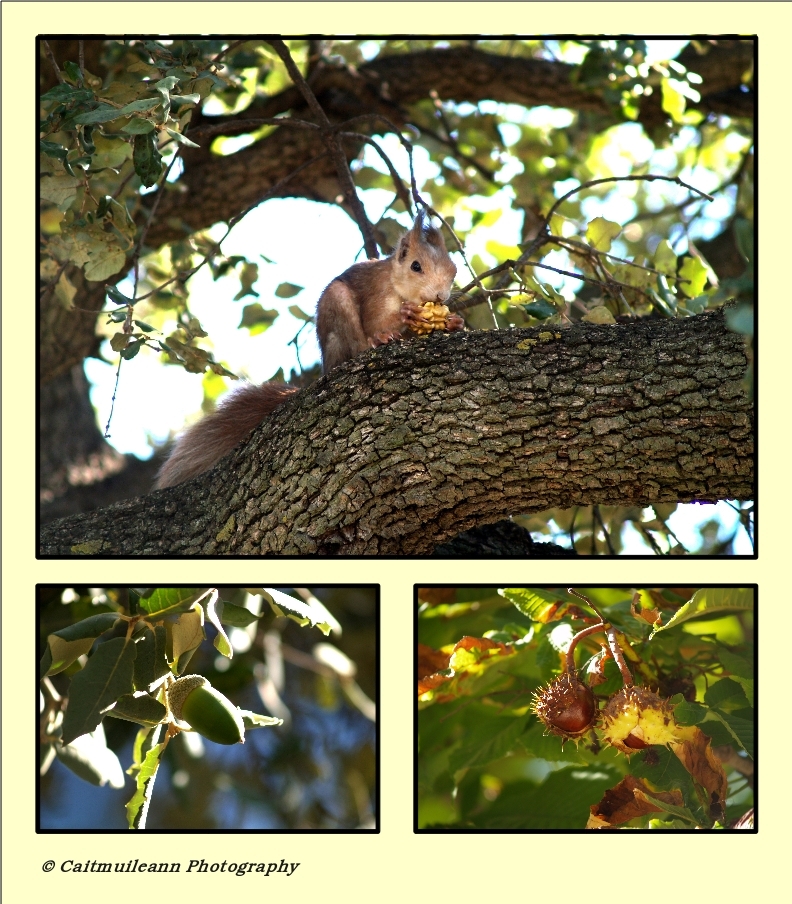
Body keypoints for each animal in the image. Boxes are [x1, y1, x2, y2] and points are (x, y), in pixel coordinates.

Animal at [153, 210, 464, 488]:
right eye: (415, 266)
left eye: (454, 270)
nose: (441, 296)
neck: (395, 283)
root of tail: (327, 366)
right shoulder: (377, 298)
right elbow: (379, 322)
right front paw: (406, 315)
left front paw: (454, 322)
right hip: (338, 310)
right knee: (357, 343)